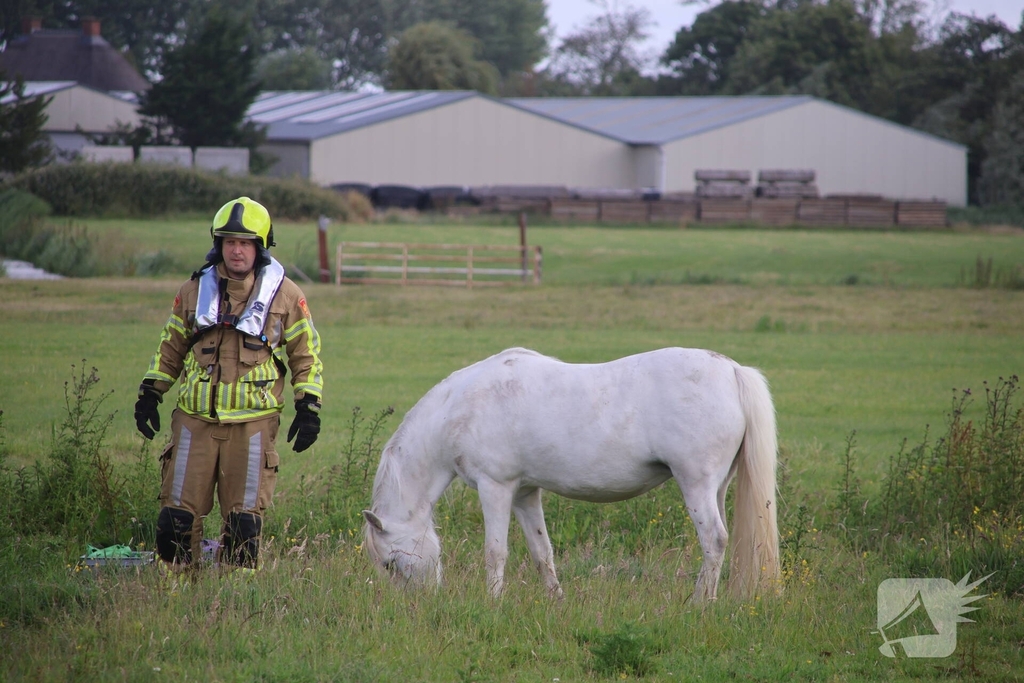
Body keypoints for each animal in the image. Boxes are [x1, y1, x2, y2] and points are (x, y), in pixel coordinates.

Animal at [362, 347, 779, 602]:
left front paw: (492, 603)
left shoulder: (495, 487)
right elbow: (541, 551)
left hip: (695, 485)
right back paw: (711, 600)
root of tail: (731, 370)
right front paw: (556, 600)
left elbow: (495, 552)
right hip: (716, 488)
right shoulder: (525, 494)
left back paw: (697, 605)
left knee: (714, 540)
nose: (417, 605)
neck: (462, 408)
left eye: (389, 563)